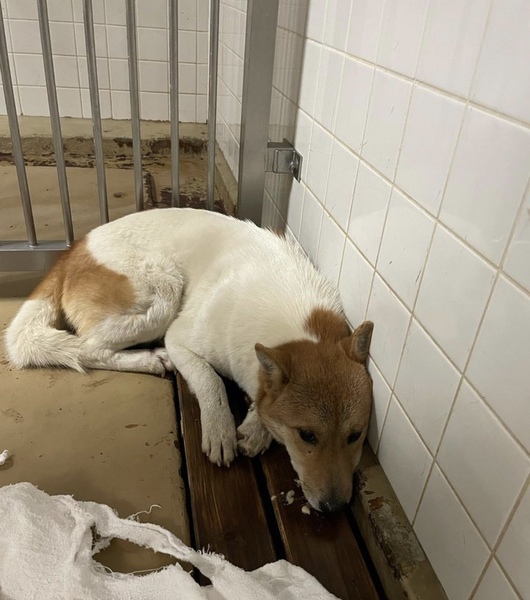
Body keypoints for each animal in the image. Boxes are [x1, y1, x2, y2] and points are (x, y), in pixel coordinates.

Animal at [5, 208, 374, 512]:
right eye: (307, 436)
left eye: (355, 436)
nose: (335, 508)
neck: (288, 323)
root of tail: (72, 251)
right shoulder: (180, 339)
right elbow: (211, 381)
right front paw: (220, 429)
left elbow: (262, 400)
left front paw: (256, 427)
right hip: (164, 290)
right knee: (89, 346)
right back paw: (150, 359)